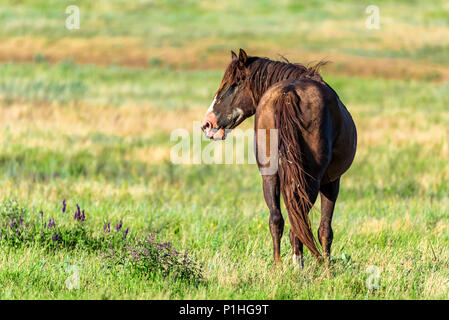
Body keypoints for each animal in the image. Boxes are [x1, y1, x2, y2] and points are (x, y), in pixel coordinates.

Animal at [201, 48, 356, 266]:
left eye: (235, 84)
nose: (207, 124)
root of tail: (288, 94)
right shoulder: (332, 182)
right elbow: (325, 230)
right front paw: (327, 268)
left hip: (270, 175)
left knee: (277, 220)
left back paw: (278, 267)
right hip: (311, 180)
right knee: (299, 222)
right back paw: (298, 265)